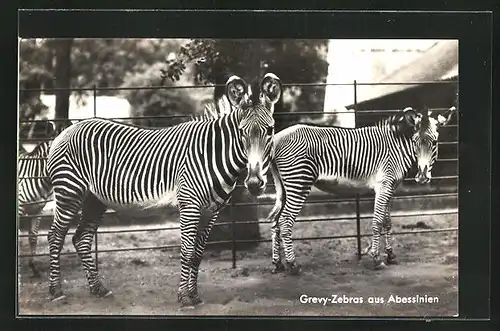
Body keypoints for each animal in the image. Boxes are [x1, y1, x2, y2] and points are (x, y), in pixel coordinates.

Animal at [45, 74, 284, 308]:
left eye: (270, 130)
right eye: (242, 132)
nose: (254, 183)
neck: (213, 154)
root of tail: (65, 131)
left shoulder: (211, 211)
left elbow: (198, 254)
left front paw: (195, 295)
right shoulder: (189, 205)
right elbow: (187, 252)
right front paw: (184, 297)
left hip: (94, 200)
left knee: (82, 238)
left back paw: (98, 288)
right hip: (69, 192)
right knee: (55, 236)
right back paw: (56, 291)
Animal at [266, 106, 458, 274]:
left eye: (434, 142)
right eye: (415, 142)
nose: (422, 177)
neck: (397, 148)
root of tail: (276, 139)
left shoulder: (390, 187)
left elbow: (387, 222)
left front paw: (391, 256)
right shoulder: (384, 185)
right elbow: (377, 221)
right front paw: (376, 259)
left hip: (284, 186)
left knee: (275, 221)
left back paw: (277, 264)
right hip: (299, 181)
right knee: (285, 220)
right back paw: (293, 265)